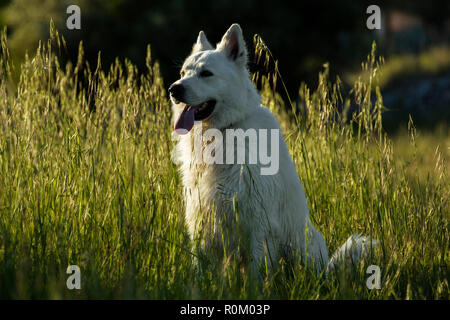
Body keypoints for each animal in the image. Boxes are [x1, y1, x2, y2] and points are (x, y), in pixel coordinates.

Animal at [169, 24, 372, 276]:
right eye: (183, 73)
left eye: (206, 73)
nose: (173, 89)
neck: (223, 132)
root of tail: (326, 271)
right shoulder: (202, 216)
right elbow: (201, 266)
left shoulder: (258, 221)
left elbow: (256, 272)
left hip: (304, 244)